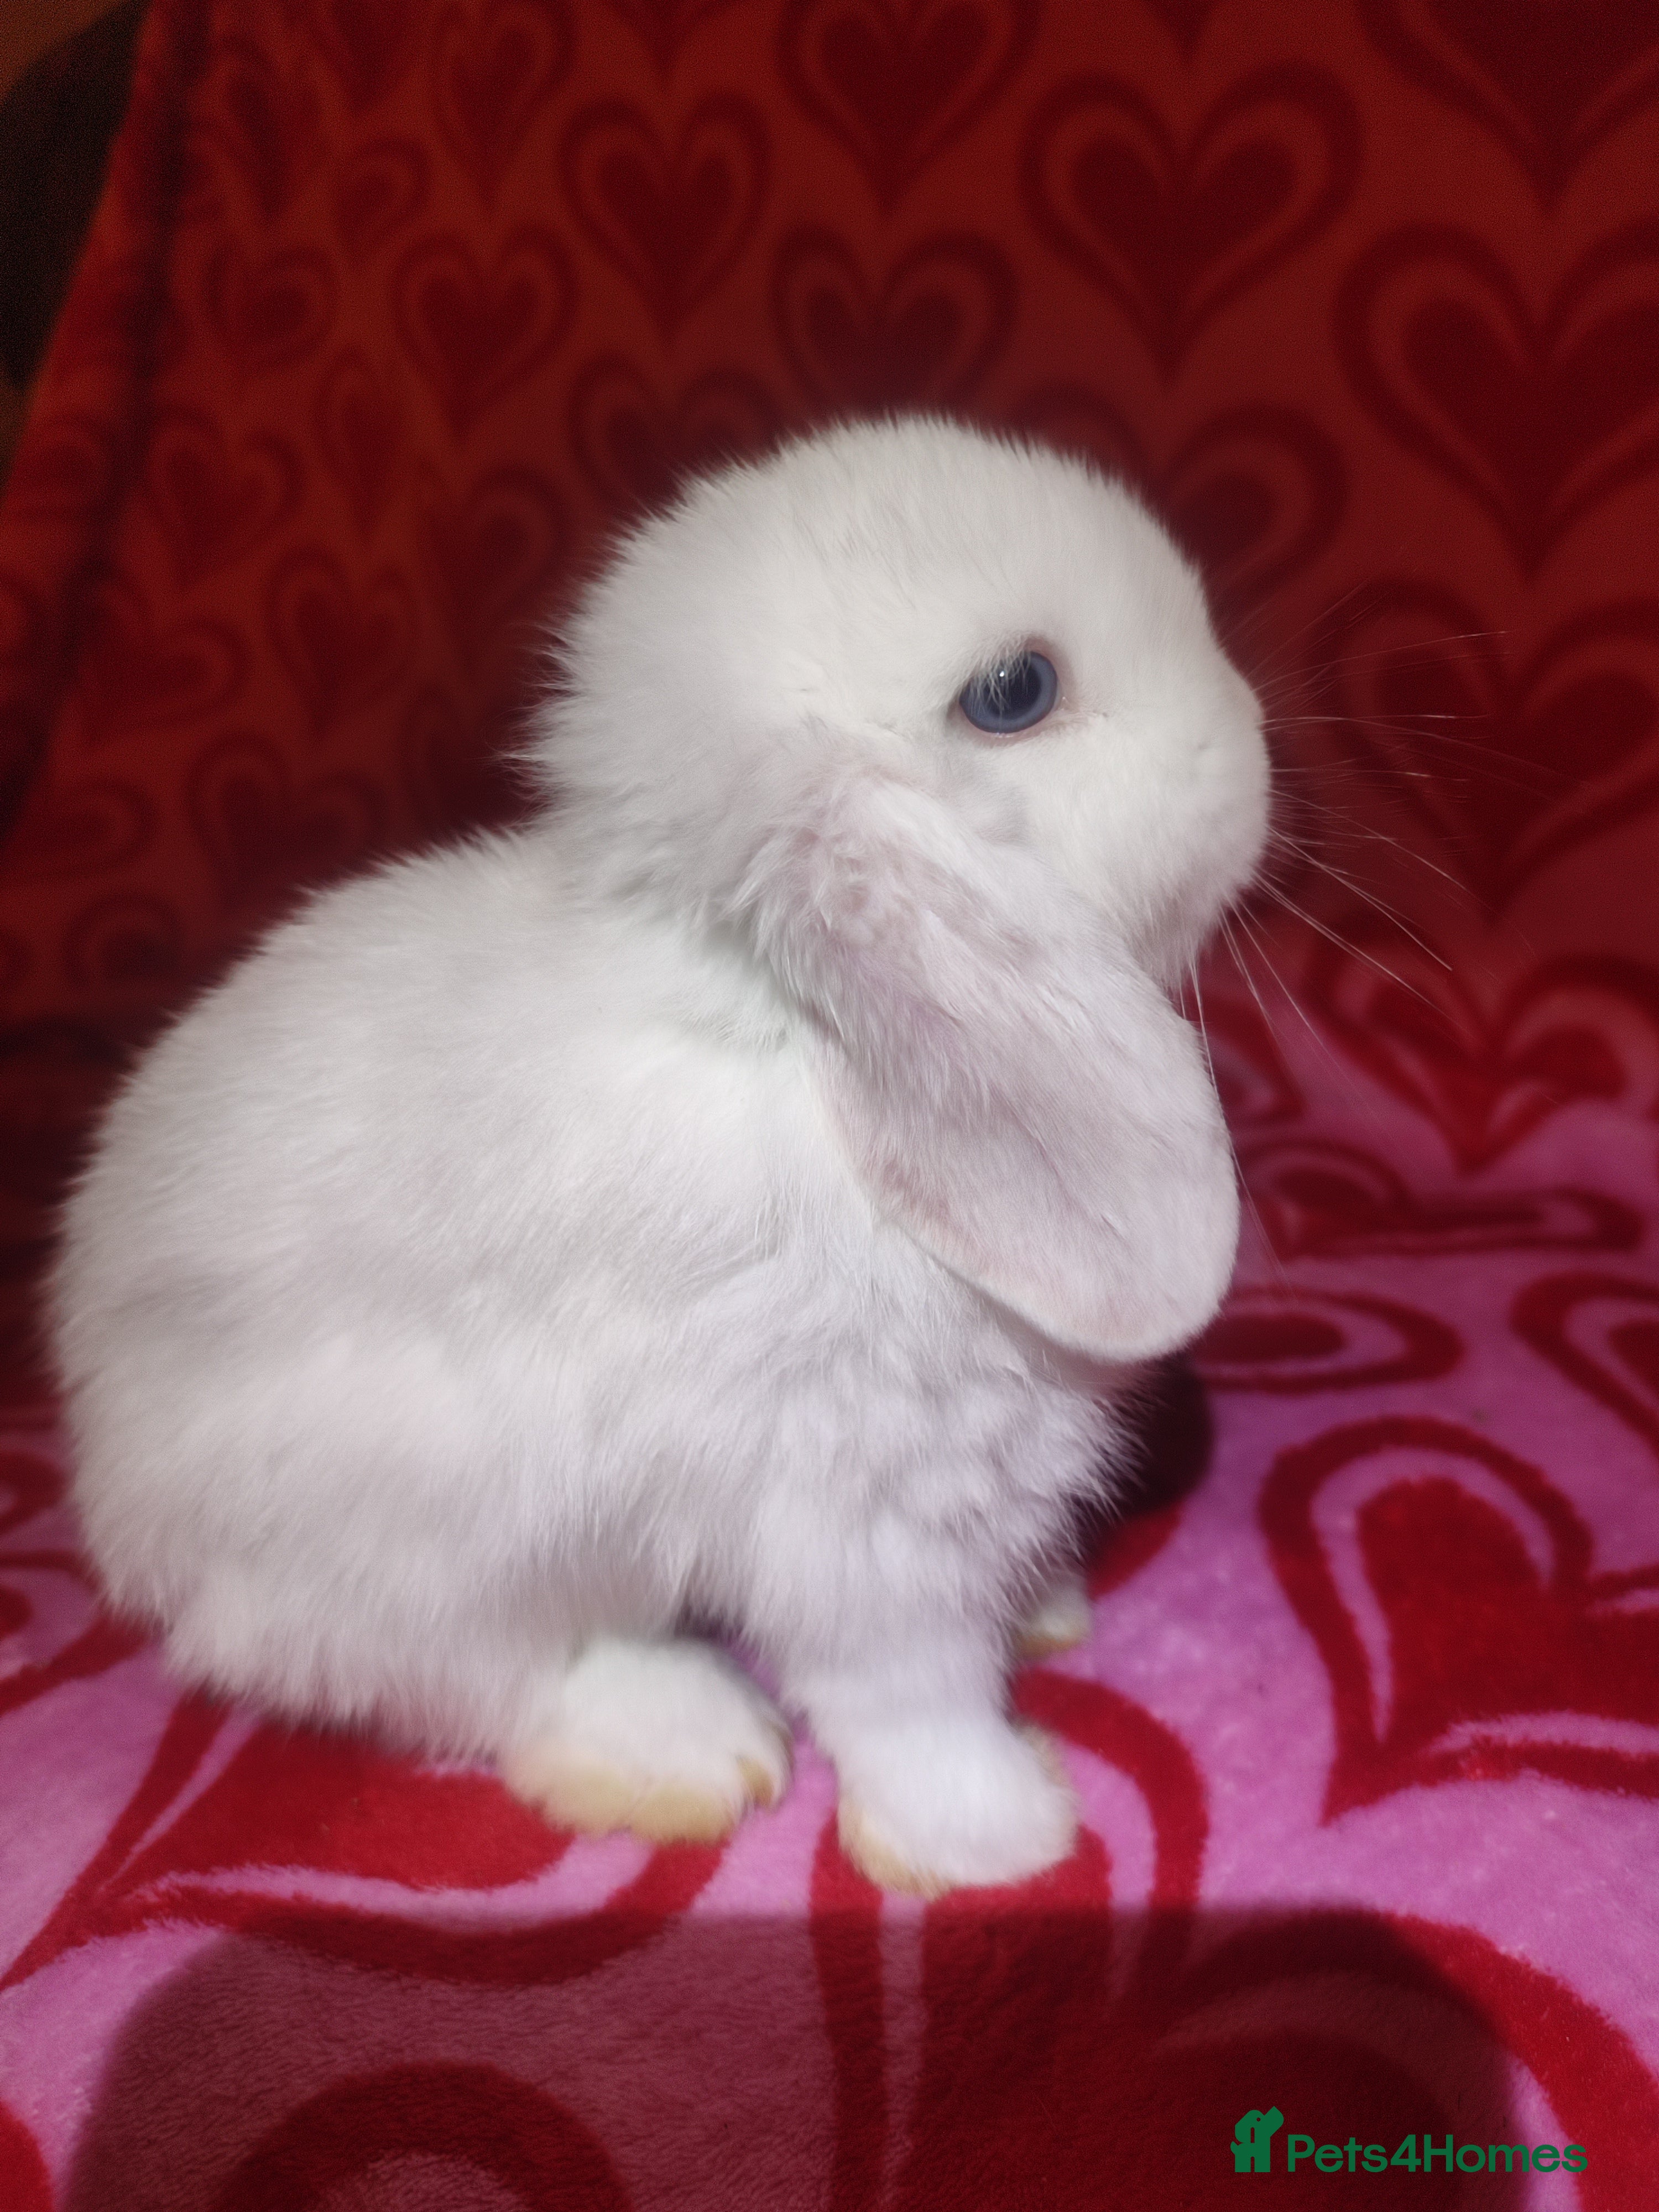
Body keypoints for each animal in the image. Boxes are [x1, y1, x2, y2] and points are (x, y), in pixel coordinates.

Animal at [49, 415, 1269, 1895]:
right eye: (1015, 690)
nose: (1251, 735)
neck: (794, 1029)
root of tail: (119, 1507)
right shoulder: (858, 1501)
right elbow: (904, 1688)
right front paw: (998, 1835)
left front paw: (1045, 1613)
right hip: (421, 1532)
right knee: (466, 1676)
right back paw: (687, 1747)